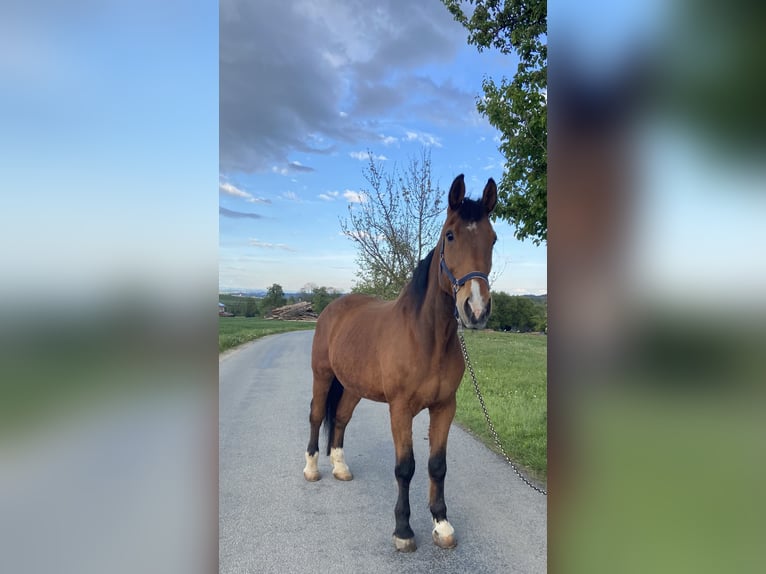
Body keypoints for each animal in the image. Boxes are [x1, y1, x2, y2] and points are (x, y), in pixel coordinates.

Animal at [300, 173, 498, 552]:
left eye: (493, 239)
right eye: (450, 235)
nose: (476, 309)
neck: (427, 338)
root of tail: (334, 307)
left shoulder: (444, 407)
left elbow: (437, 465)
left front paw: (442, 525)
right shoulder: (401, 408)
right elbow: (405, 468)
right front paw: (403, 530)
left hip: (352, 386)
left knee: (341, 419)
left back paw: (340, 468)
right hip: (322, 375)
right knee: (317, 416)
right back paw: (312, 468)